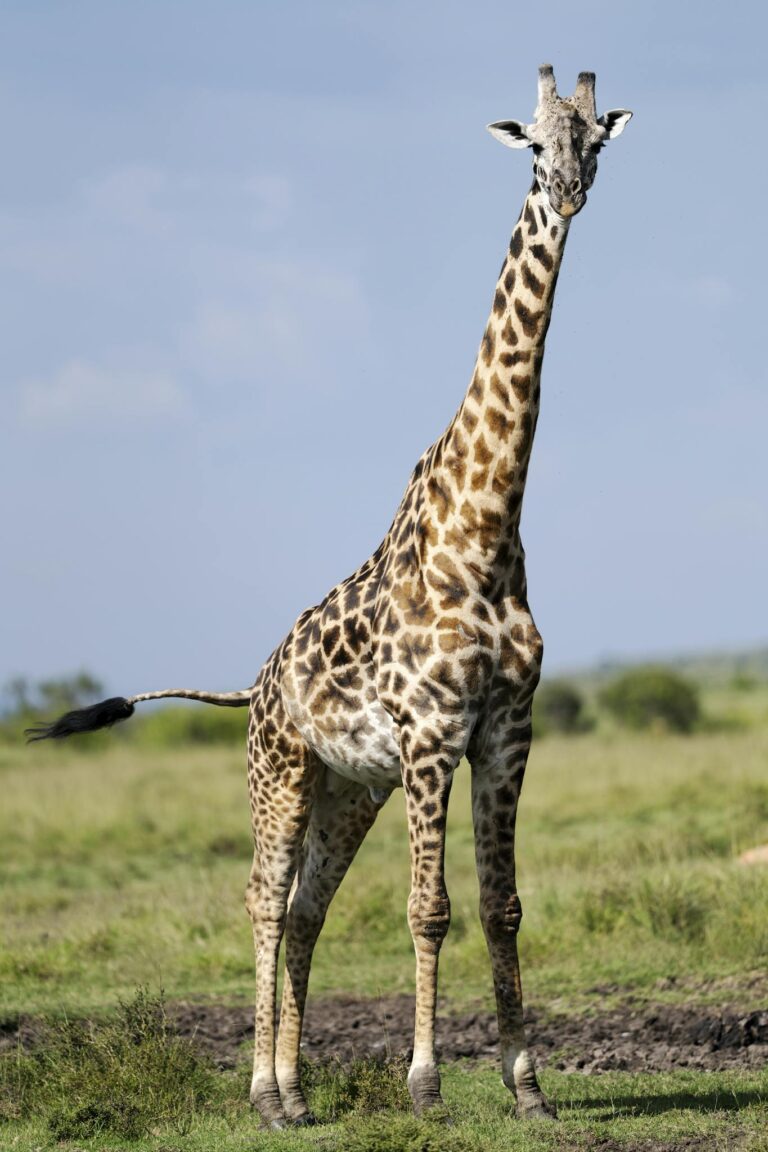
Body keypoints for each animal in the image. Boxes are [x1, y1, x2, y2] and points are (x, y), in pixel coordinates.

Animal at [28, 65, 631, 1126]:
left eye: (595, 138)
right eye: (532, 145)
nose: (567, 192)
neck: (487, 529)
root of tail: (253, 684)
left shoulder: (506, 731)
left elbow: (502, 905)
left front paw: (529, 1088)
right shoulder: (432, 733)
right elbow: (430, 909)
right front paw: (428, 1084)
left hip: (348, 785)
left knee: (309, 910)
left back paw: (298, 1093)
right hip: (279, 773)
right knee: (265, 902)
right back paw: (263, 1092)